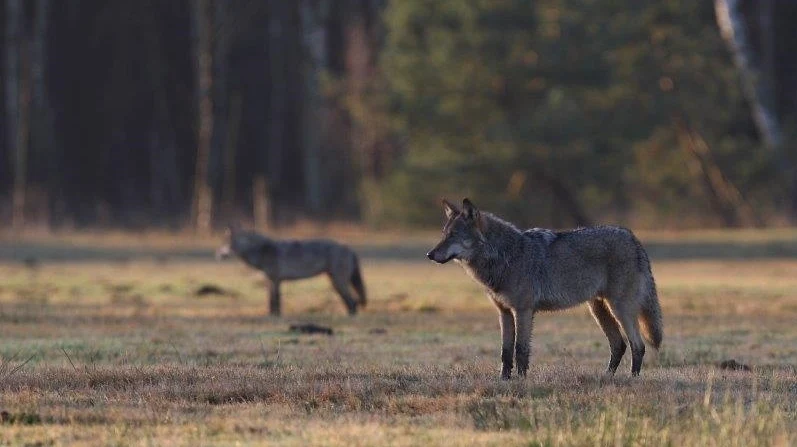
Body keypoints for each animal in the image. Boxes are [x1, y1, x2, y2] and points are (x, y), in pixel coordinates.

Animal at [216, 227, 367, 316]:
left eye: (224, 244)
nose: (217, 255)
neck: (263, 251)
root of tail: (350, 248)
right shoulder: (271, 281)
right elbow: (272, 300)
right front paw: (272, 315)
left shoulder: (275, 280)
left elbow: (275, 300)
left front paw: (275, 316)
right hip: (336, 282)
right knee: (351, 301)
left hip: (338, 283)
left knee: (353, 302)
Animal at [426, 198, 662, 379]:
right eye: (443, 234)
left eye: (453, 235)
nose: (429, 254)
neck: (505, 256)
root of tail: (633, 238)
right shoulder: (504, 313)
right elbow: (505, 352)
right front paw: (503, 380)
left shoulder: (523, 311)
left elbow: (520, 350)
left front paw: (521, 380)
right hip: (598, 310)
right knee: (619, 345)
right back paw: (606, 377)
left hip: (619, 309)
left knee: (638, 345)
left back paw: (633, 378)